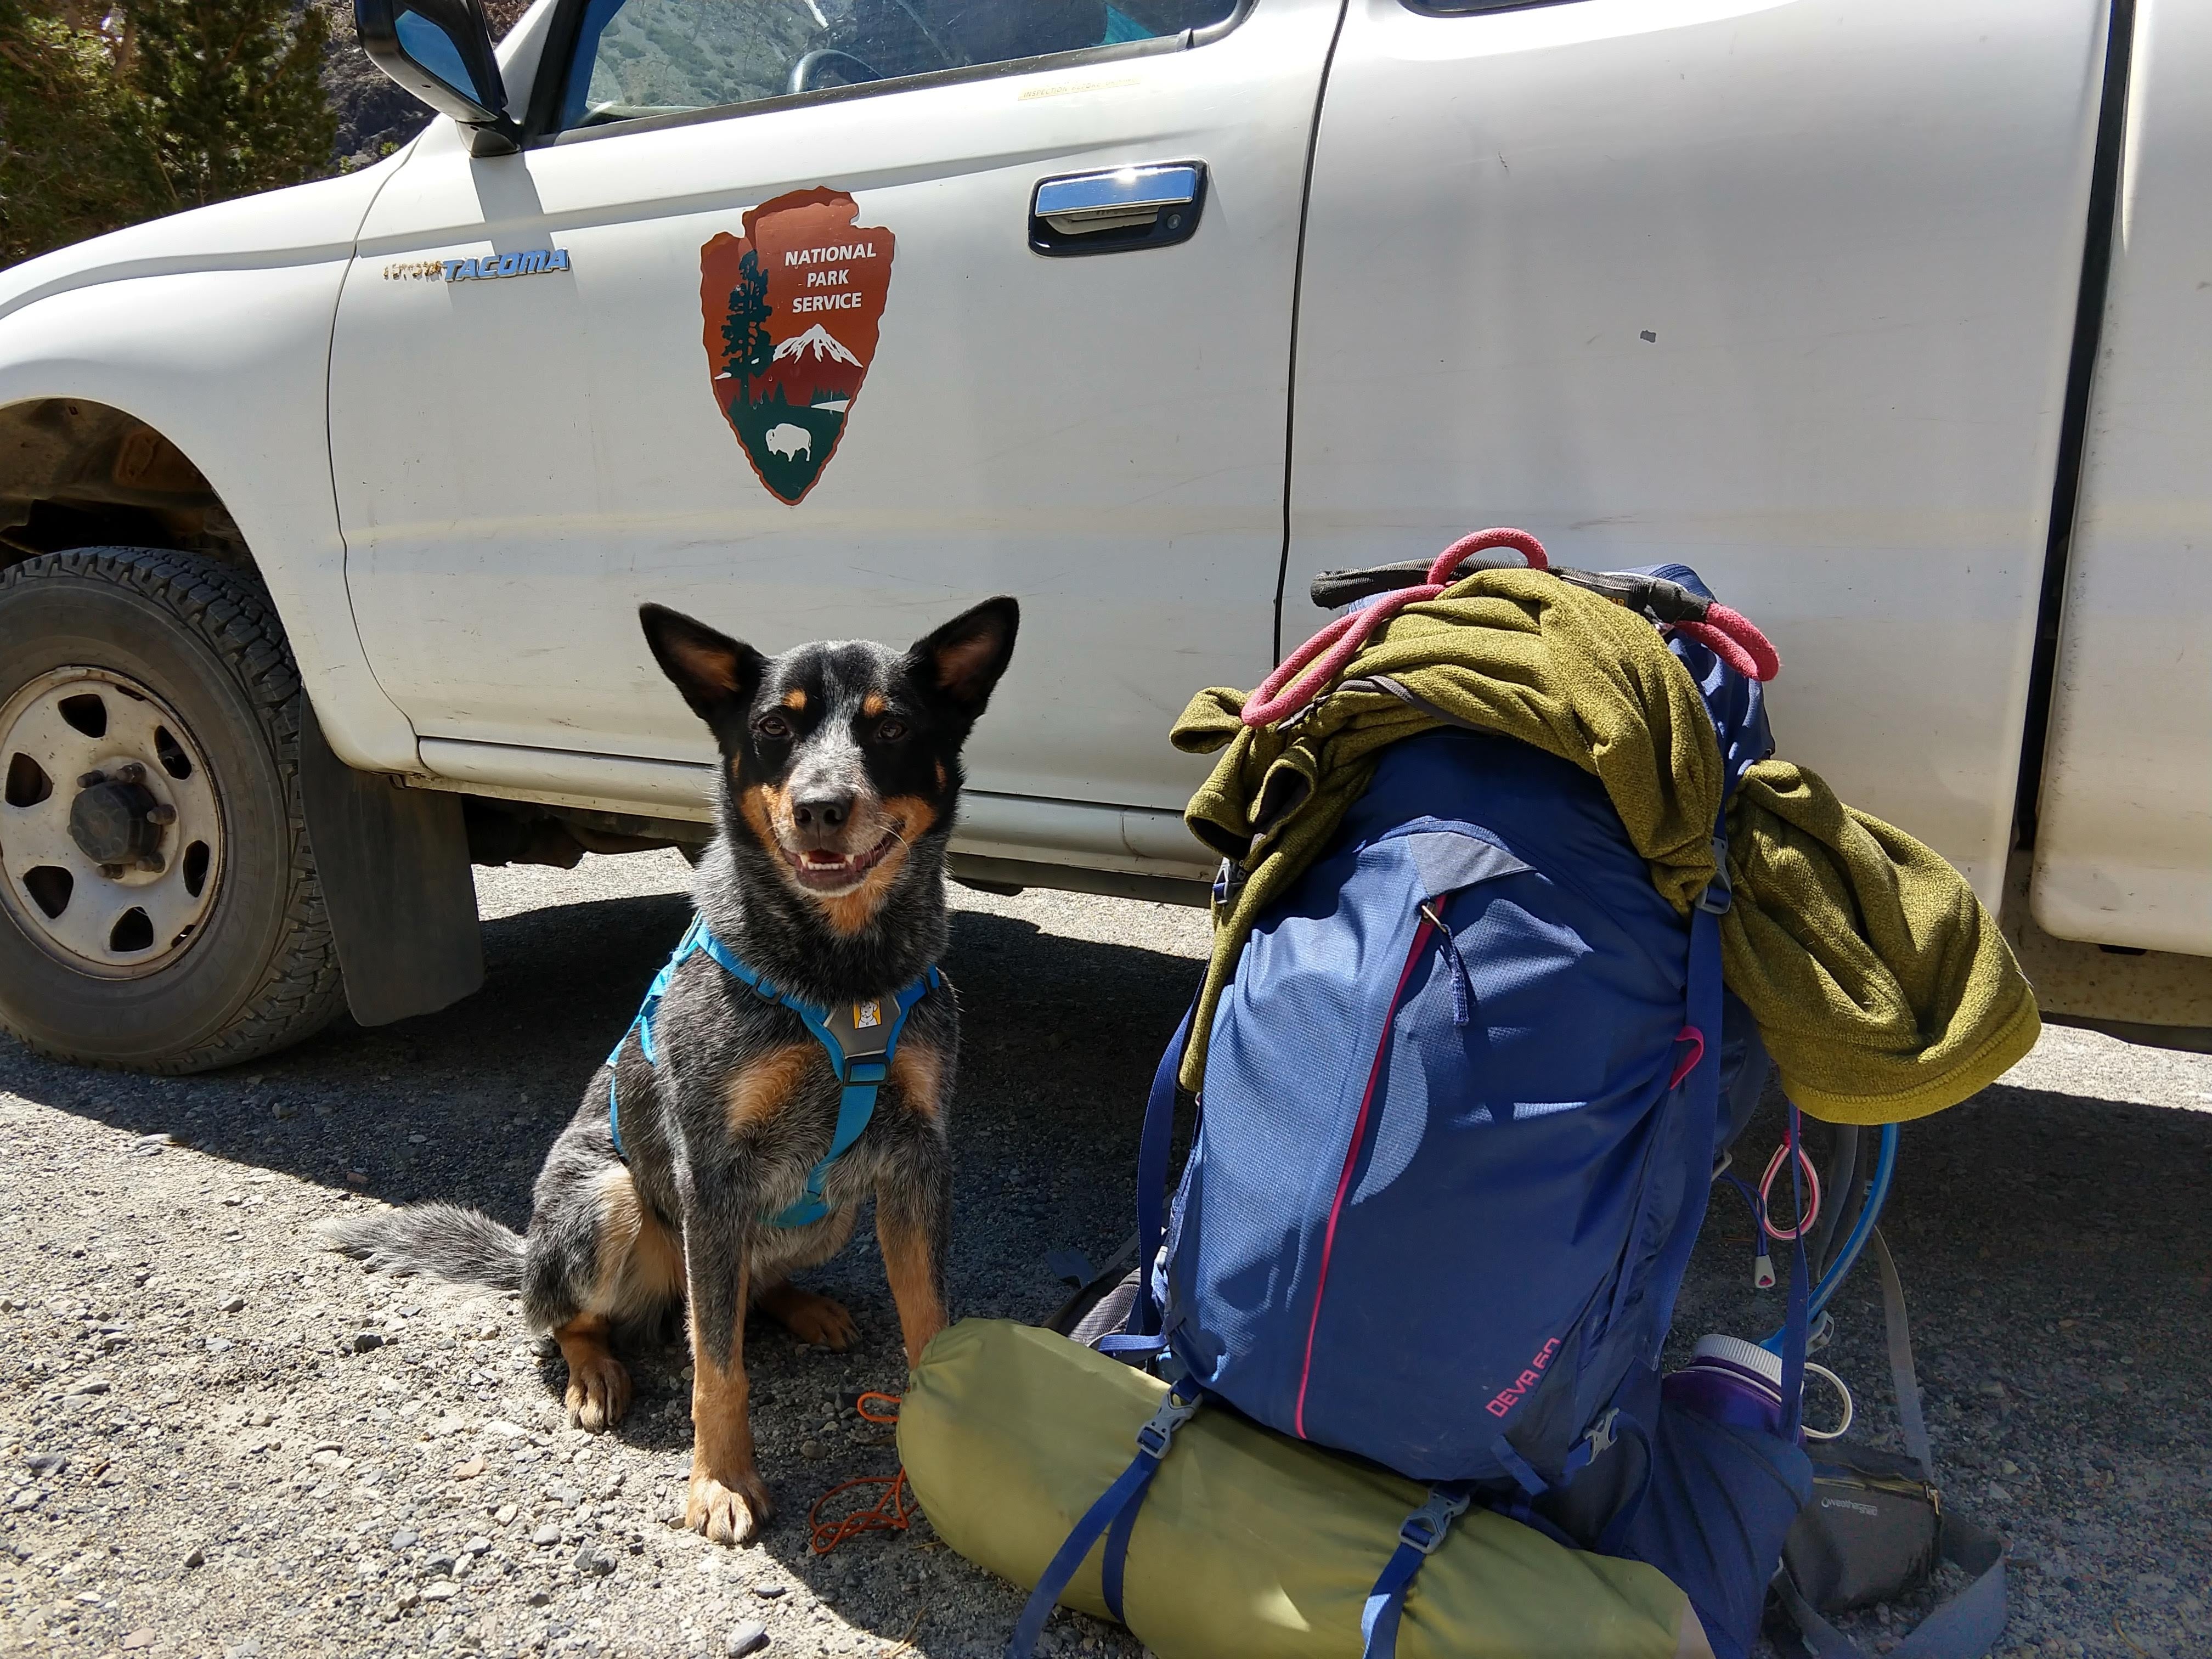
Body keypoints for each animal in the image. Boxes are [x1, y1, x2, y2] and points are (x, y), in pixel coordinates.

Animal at [320, 597, 1017, 1548]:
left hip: (835, 1210)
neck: (841, 976)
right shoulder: (713, 1175)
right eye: (773, 727)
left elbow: (928, 1321)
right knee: (581, 1317)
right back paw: (594, 1370)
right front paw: (720, 1479)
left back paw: (800, 1305)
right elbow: (716, 1366)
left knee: (749, 1287)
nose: (822, 807)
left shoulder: (915, 1160)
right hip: (613, 1204)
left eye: (894, 727)